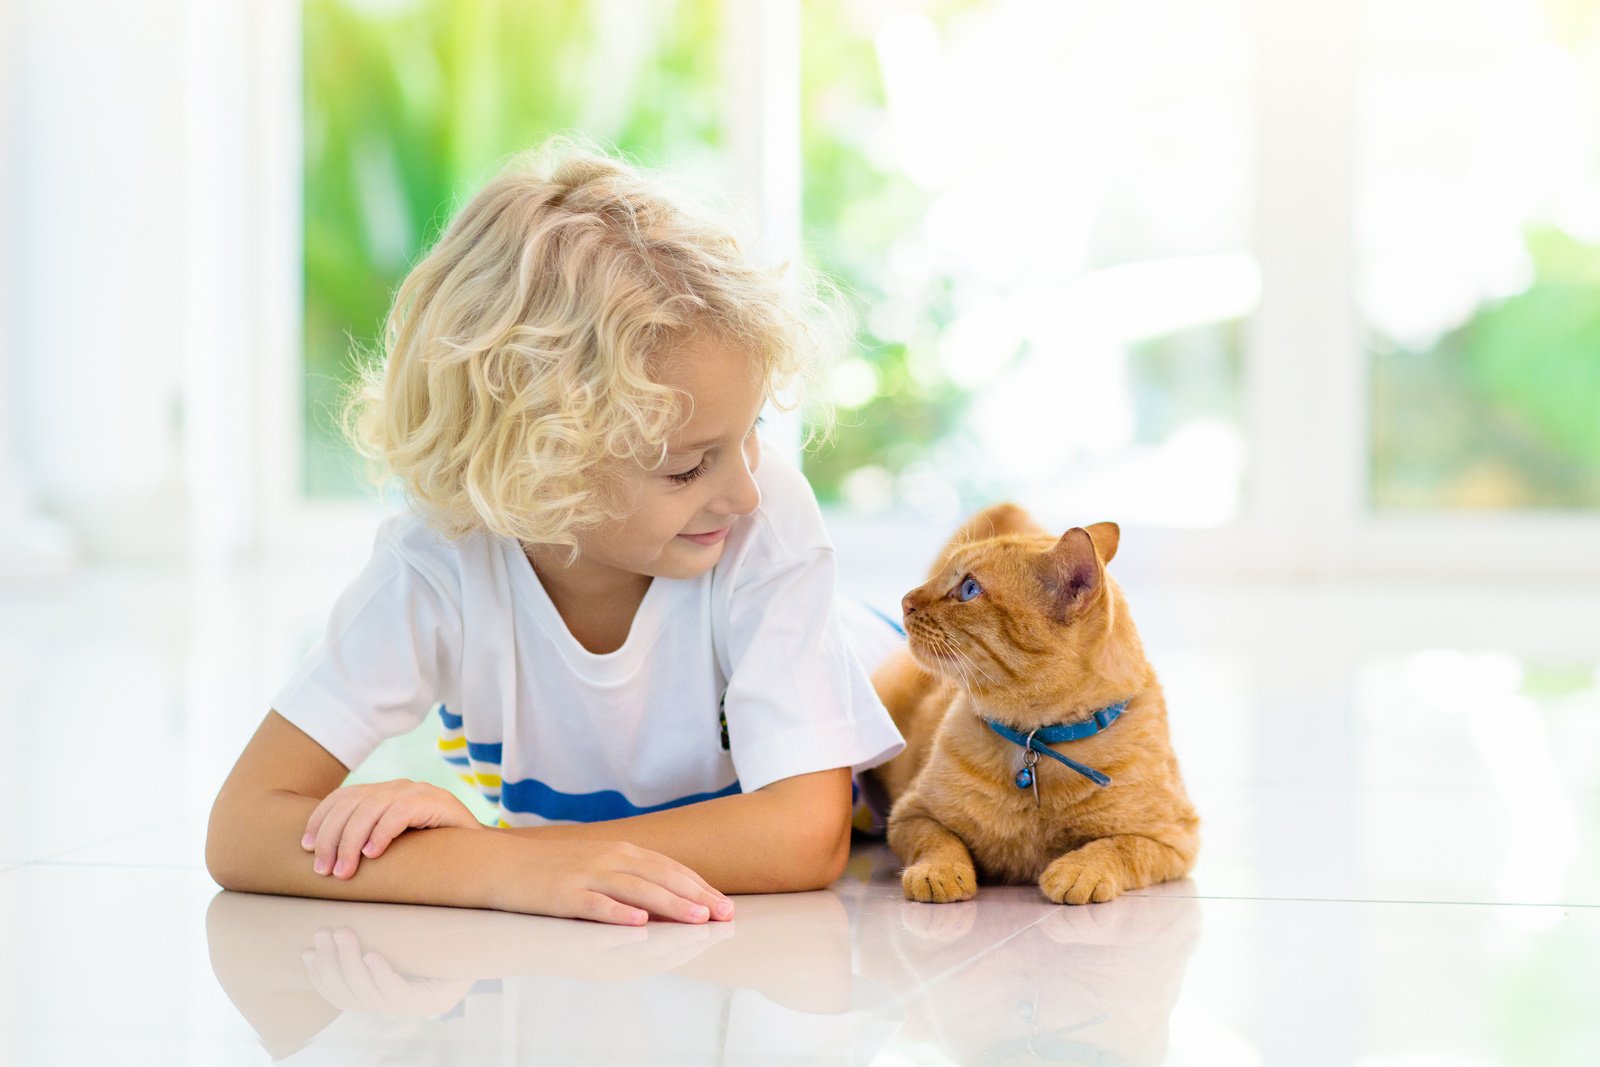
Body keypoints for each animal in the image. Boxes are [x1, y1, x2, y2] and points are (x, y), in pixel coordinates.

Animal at [870, 505, 1196, 908]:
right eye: (947, 575)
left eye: (969, 589)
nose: (905, 601)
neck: (1035, 740)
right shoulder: (910, 815)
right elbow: (938, 841)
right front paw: (939, 873)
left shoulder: (1174, 840)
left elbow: (1116, 847)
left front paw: (1078, 871)